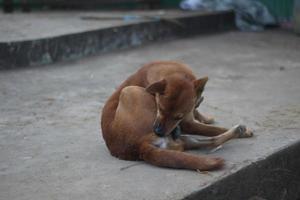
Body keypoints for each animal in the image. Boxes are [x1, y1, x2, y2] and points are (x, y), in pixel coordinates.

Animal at [101, 61, 253, 170]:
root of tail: (139, 147)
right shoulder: (188, 124)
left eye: (178, 117)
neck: (176, 72)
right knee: (213, 139)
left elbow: (199, 114)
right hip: (129, 91)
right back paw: (240, 131)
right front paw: (247, 131)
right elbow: (213, 129)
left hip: (182, 141)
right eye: (160, 108)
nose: (158, 131)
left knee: (213, 141)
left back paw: (237, 131)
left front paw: (205, 117)